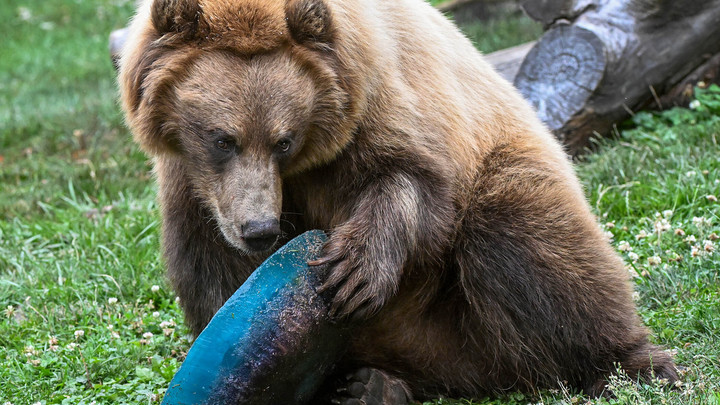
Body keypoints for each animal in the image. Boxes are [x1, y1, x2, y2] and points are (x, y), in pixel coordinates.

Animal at [118, 0, 676, 400]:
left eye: (284, 140)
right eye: (222, 138)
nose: (260, 230)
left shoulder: (386, 100)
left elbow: (412, 179)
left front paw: (352, 272)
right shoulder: (196, 189)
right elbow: (208, 269)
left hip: (503, 192)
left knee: (532, 247)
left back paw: (633, 364)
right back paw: (372, 386)